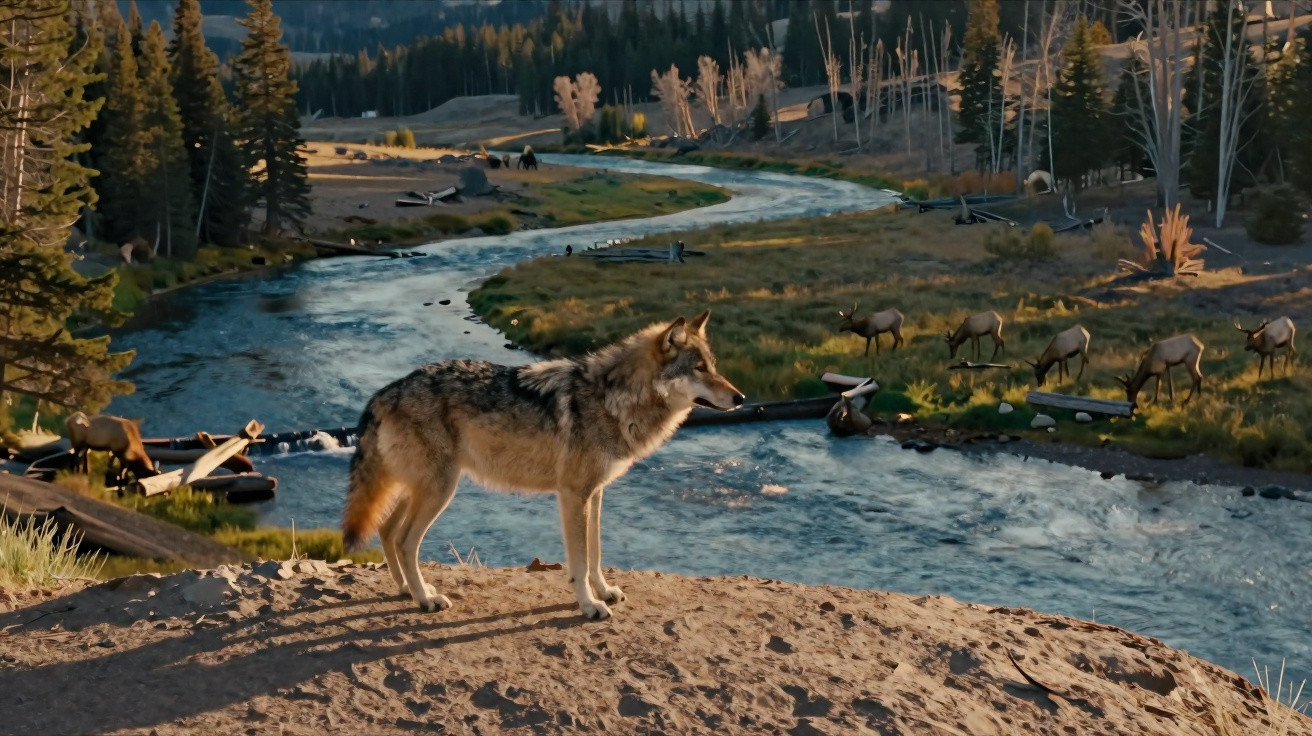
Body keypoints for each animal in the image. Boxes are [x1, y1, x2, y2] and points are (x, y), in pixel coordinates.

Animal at [342, 310, 744, 619]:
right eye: (698, 368)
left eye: (714, 366)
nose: (740, 398)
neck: (612, 399)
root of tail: (386, 391)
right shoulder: (573, 495)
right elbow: (579, 561)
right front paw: (589, 606)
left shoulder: (595, 494)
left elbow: (596, 553)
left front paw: (604, 591)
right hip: (440, 491)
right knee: (405, 540)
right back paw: (425, 599)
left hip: (420, 488)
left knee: (387, 531)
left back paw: (407, 590)